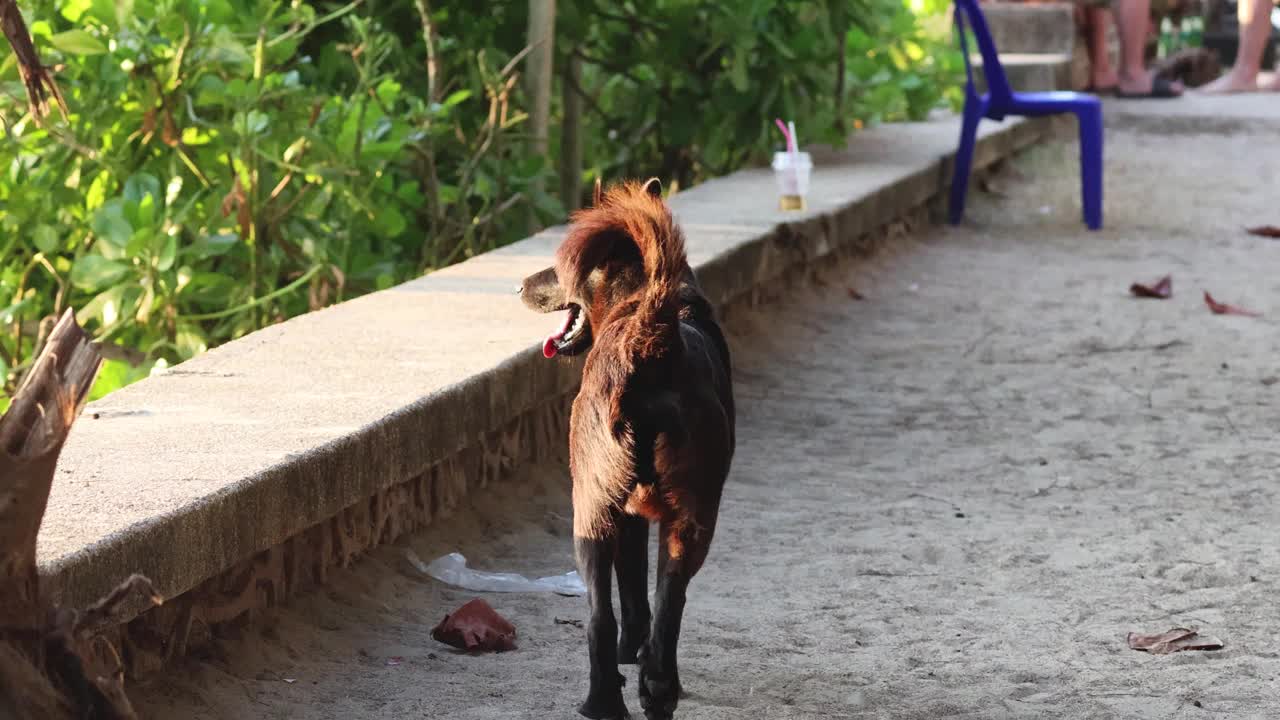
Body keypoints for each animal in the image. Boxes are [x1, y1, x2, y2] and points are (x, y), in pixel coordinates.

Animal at [519, 175, 737, 717]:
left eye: (559, 268)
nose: (519, 286)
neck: (635, 302)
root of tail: (650, 339)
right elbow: (650, 600)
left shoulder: (631, 517)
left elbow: (633, 596)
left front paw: (627, 656)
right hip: (684, 520)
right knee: (668, 607)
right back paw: (655, 688)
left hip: (592, 511)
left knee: (603, 616)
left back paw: (607, 699)